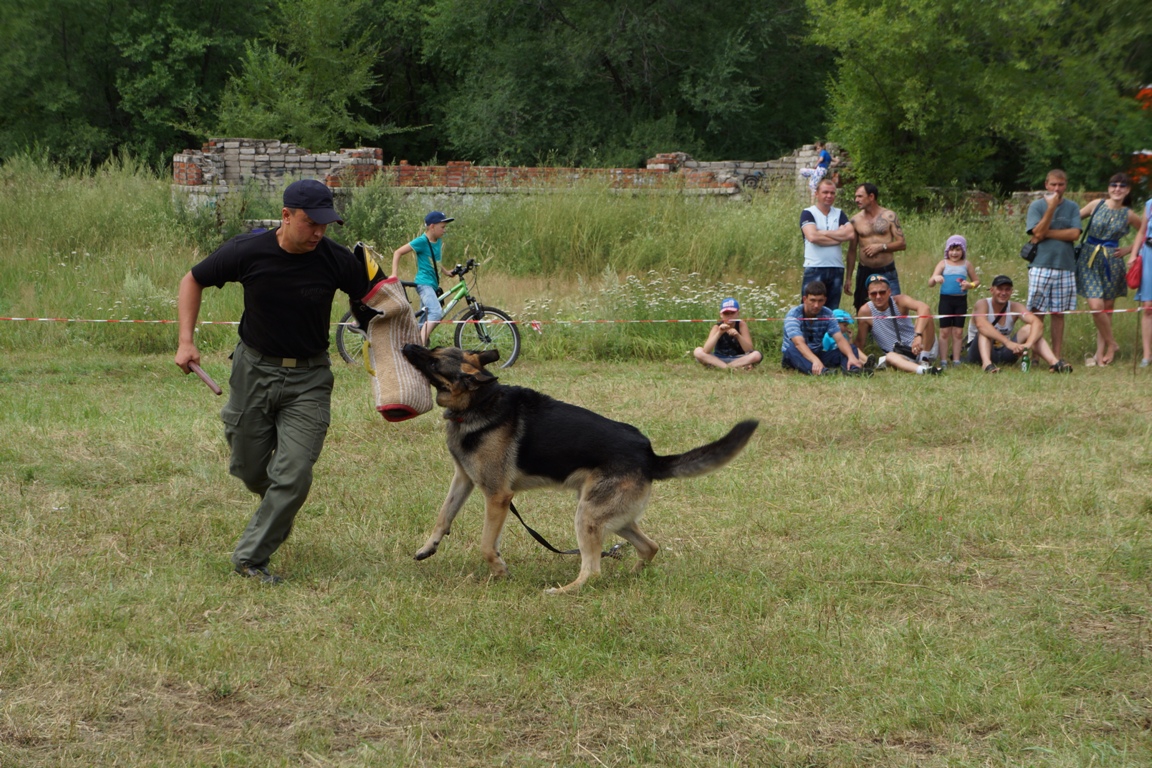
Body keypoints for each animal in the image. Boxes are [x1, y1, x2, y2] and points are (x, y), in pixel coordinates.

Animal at [400, 347, 760, 594]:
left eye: (434, 359)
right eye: (435, 348)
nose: (407, 345)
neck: (479, 401)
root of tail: (649, 455)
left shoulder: (498, 496)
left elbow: (487, 545)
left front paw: (500, 571)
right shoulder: (464, 479)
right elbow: (443, 516)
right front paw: (428, 547)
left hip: (586, 514)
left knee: (593, 570)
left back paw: (563, 591)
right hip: (610, 517)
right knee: (649, 546)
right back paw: (631, 576)